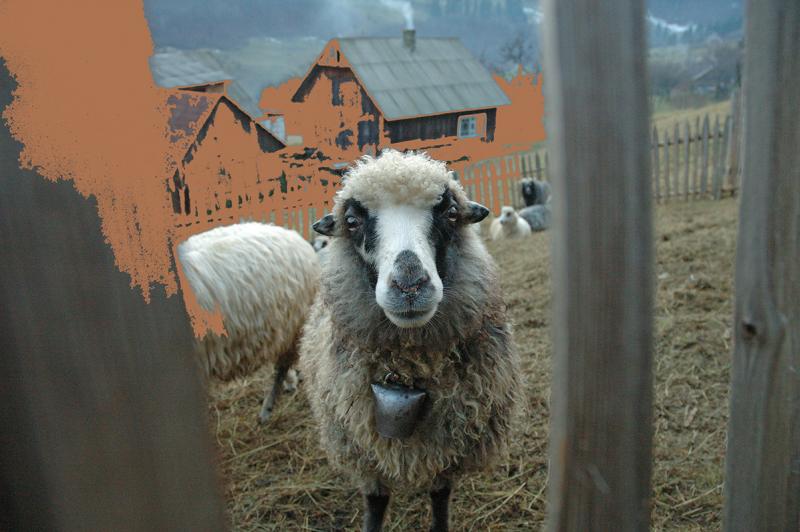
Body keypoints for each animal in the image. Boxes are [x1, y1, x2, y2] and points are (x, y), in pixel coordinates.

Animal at [296, 150, 520, 532]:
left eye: (451, 213)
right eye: (352, 221)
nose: (410, 286)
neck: (409, 361)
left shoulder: (449, 449)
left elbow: (440, 497)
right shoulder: (365, 451)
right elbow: (375, 503)